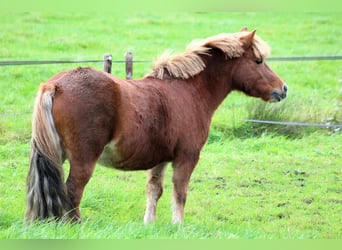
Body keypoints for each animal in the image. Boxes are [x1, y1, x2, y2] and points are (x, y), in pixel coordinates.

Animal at [26, 29, 288, 225]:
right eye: (258, 61)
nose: (283, 89)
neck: (188, 91)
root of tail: (55, 85)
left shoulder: (160, 159)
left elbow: (154, 190)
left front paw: (149, 224)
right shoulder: (186, 157)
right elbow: (179, 192)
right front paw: (178, 225)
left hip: (53, 155)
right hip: (83, 160)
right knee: (72, 191)